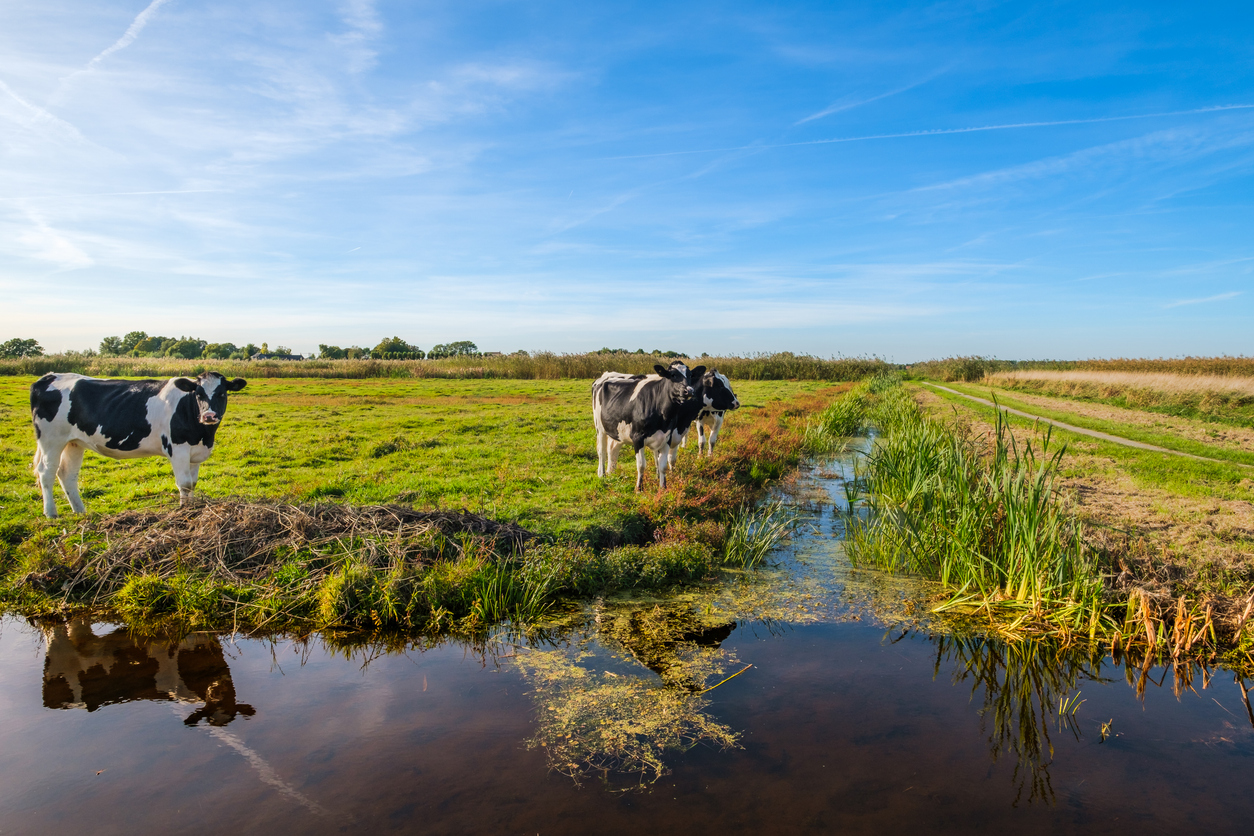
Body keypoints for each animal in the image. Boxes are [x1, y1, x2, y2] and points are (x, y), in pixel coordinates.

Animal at [30, 371, 247, 518]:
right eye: (199, 394)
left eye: (222, 393)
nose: (209, 415)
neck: (203, 434)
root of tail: (49, 377)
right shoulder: (178, 450)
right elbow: (184, 484)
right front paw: (183, 511)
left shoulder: (195, 453)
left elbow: (192, 484)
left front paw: (192, 509)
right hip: (51, 439)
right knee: (46, 472)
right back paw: (51, 513)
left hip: (74, 442)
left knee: (67, 474)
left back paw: (80, 511)